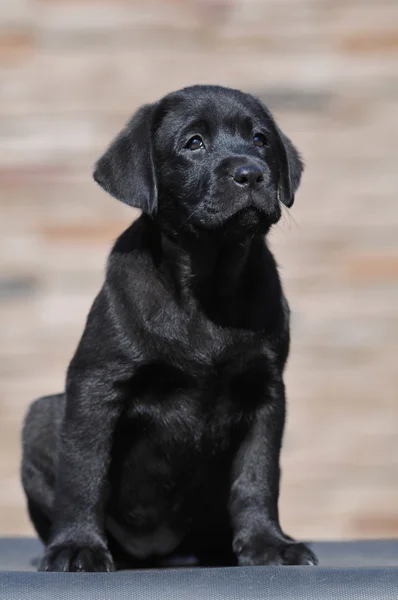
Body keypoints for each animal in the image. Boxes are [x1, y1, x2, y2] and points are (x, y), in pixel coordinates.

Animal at [21, 85, 318, 572]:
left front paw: (268, 544)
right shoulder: (97, 384)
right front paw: (77, 545)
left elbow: (258, 474)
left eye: (260, 140)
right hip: (42, 415)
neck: (207, 286)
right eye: (193, 143)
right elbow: (84, 470)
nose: (251, 174)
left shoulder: (266, 391)